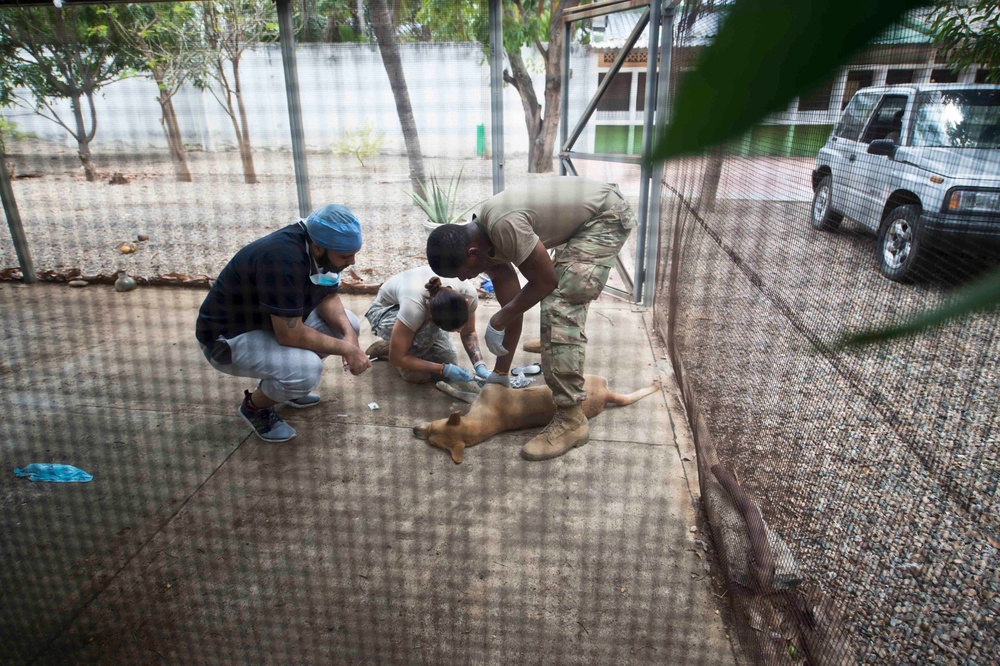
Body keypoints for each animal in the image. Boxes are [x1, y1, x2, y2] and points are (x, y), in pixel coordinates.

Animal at [410, 374, 660, 462]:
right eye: (431, 440)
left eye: (432, 427)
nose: (414, 431)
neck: (482, 423)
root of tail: (606, 395)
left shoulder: (482, 394)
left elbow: (461, 390)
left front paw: (444, 384)